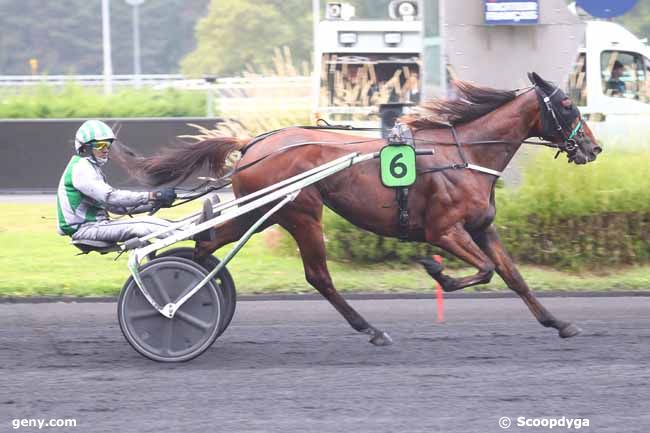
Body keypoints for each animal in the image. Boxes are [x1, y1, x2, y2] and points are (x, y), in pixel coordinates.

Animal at [116, 73, 596, 344]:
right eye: (567, 104)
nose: (593, 147)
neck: (461, 155)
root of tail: (253, 143)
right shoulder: (444, 231)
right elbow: (485, 270)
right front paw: (436, 271)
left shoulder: (482, 228)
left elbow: (513, 276)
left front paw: (559, 323)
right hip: (299, 212)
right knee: (318, 276)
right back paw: (370, 329)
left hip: (259, 212)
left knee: (205, 243)